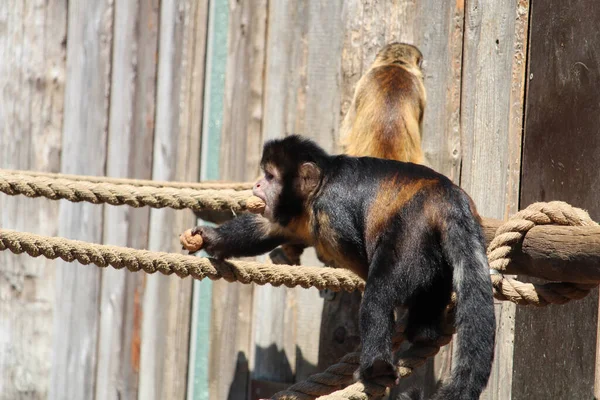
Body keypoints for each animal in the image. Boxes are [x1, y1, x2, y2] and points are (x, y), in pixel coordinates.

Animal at [193, 135, 496, 400]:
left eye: (269, 177)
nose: (256, 185)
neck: (320, 187)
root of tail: (447, 197)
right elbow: (269, 228)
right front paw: (211, 238)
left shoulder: (330, 211)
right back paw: (424, 332)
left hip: (412, 227)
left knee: (378, 294)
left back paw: (377, 368)